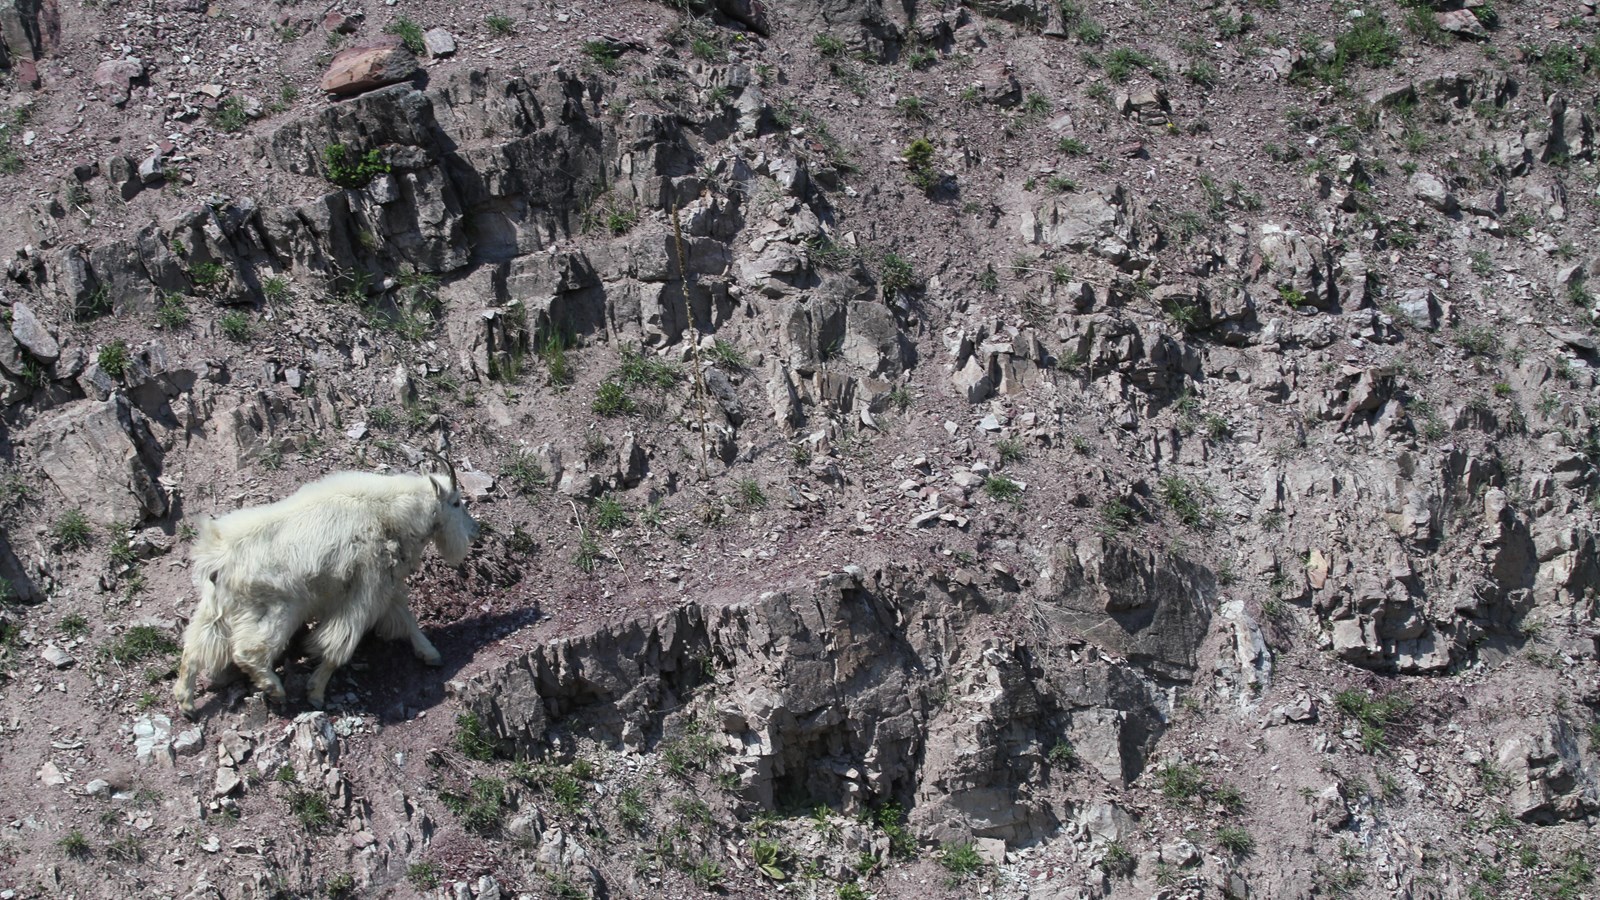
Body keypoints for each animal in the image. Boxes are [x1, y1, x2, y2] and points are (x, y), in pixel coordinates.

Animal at [173, 464, 480, 716]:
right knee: (247, 652)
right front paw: (316, 693)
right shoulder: (365, 590)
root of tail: (218, 558)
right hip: (277, 609)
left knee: (194, 649)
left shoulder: (386, 585)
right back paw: (274, 688)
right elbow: (338, 645)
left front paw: (431, 654)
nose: (474, 530)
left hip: (214, 608)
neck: (388, 514)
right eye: (456, 502)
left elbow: (407, 619)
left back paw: (186, 703)